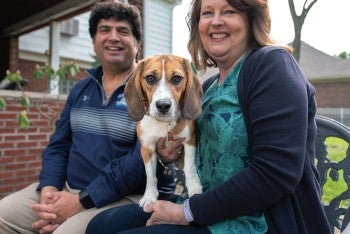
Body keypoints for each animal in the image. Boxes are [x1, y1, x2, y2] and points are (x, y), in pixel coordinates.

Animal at [125, 54, 202, 207]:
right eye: (150, 78)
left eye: (176, 78)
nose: (163, 105)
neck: (163, 124)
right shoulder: (147, 149)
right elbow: (150, 176)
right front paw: (149, 196)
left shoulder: (190, 140)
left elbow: (190, 167)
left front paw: (194, 188)